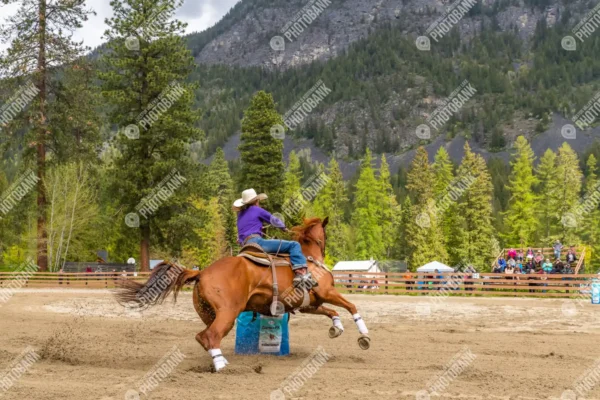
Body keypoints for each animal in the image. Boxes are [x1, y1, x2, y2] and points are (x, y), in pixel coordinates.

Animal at [115, 217, 370, 370]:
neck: (309, 259)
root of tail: (202, 272)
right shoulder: (327, 292)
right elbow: (351, 307)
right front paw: (364, 336)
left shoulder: (309, 304)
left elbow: (332, 312)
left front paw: (336, 328)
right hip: (229, 312)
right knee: (211, 336)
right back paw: (222, 366)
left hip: (209, 313)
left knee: (203, 336)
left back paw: (218, 361)